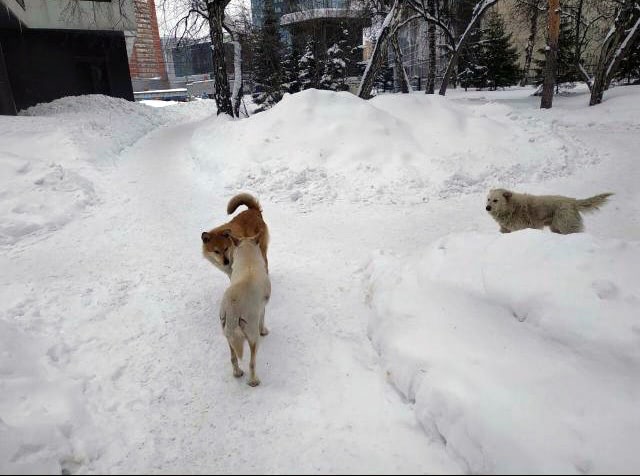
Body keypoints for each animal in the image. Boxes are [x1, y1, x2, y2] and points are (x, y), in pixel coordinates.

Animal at [220, 231, 270, 386]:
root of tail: (233, 308)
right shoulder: (262, 308)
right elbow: (262, 319)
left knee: (233, 357)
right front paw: (264, 331)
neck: (248, 260)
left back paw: (237, 373)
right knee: (252, 363)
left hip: (227, 334)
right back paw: (253, 381)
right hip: (253, 337)